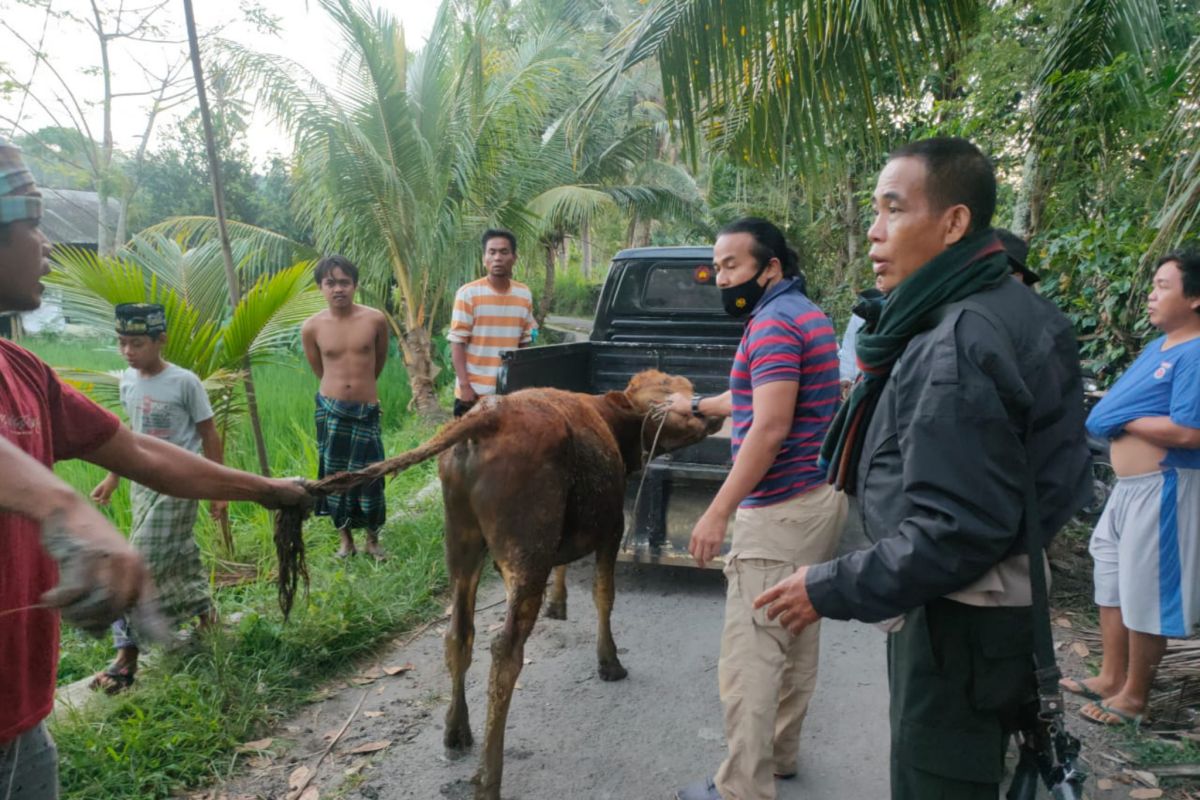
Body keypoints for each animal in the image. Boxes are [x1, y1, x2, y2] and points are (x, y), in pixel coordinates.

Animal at [333, 371, 715, 796]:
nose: (709, 410)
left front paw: (558, 603)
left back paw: (456, 732)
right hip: (527, 553)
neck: (613, 421)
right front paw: (609, 661)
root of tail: (488, 413)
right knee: (504, 652)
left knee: (458, 635)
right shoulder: (611, 528)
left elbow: (566, 569)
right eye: (673, 394)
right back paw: (488, 777)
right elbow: (604, 596)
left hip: (462, 543)